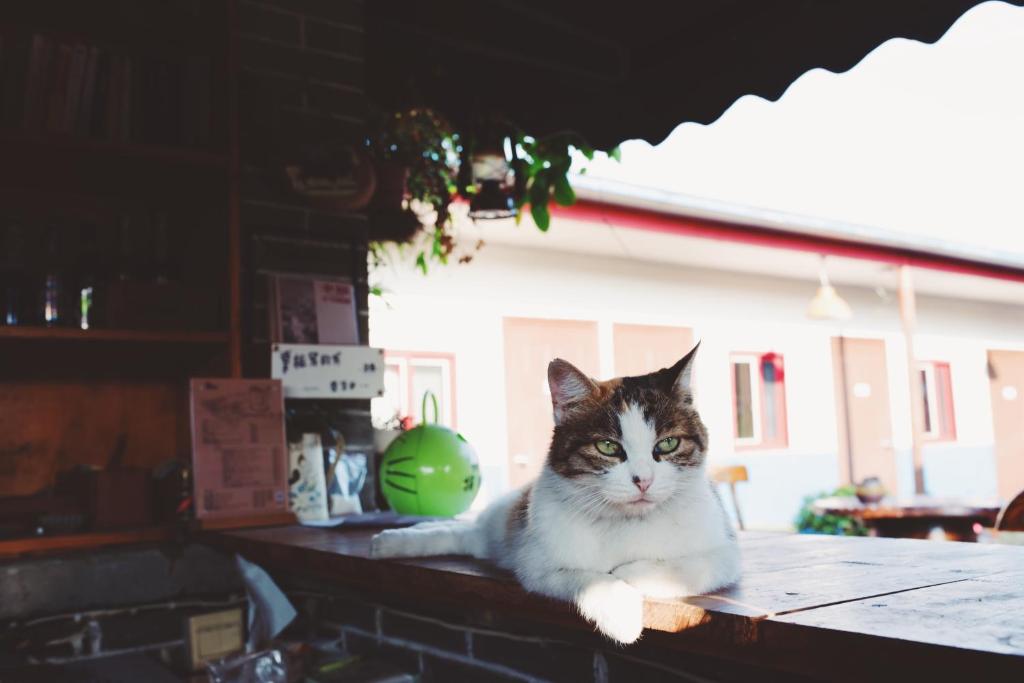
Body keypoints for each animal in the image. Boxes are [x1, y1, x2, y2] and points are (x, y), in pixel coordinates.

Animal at [372, 344, 741, 643]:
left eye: (668, 444)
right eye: (608, 447)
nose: (643, 480)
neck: (627, 522)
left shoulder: (725, 552)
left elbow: (688, 566)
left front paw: (630, 572)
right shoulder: (537, 563)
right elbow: (588, 577)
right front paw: (620, 613)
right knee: (465, 531)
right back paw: (393, 540)